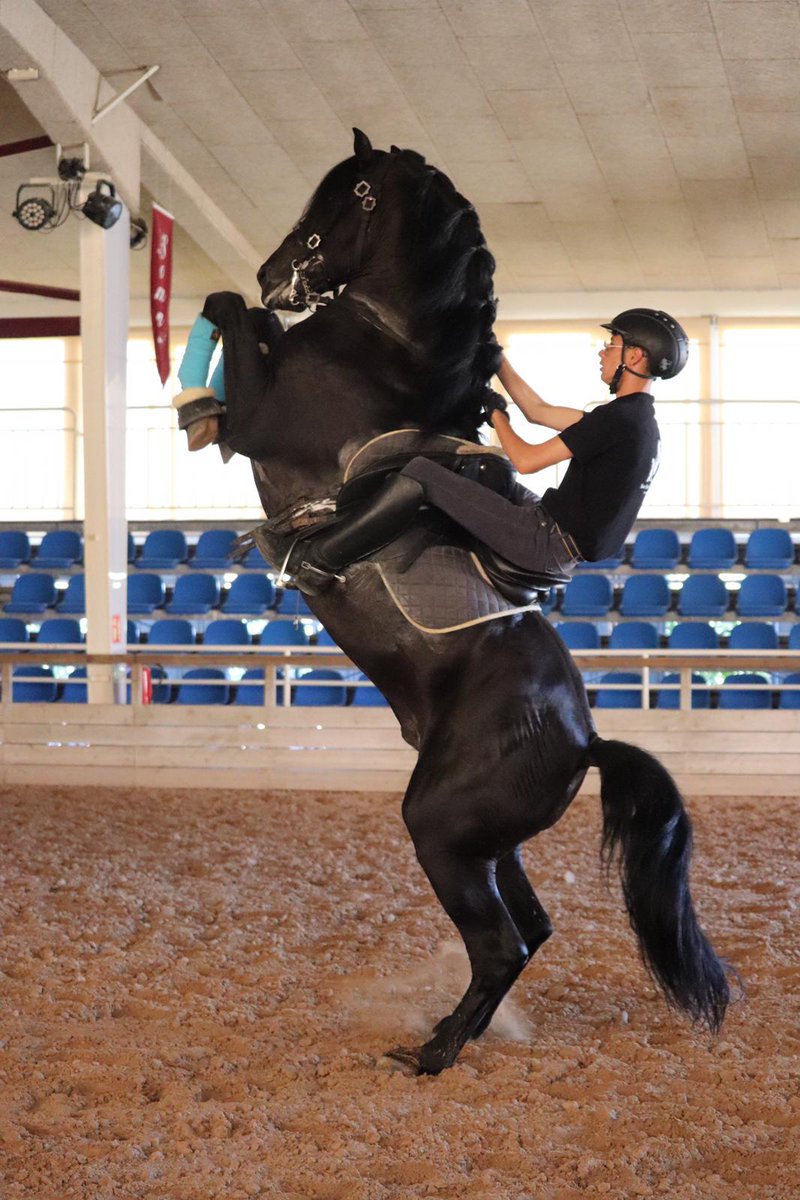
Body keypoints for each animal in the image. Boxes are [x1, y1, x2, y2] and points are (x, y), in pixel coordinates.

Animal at [194, 129, 730, 1075]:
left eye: (353, 194)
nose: (274, 274)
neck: (379, 351)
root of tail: (586, 740)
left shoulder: (266, 417)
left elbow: (237, 325)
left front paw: (222, 343)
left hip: (441, 827)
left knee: (501, 943)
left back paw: (433, 1053)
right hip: (490, 842)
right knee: (530, 931)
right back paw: (455, 1035)